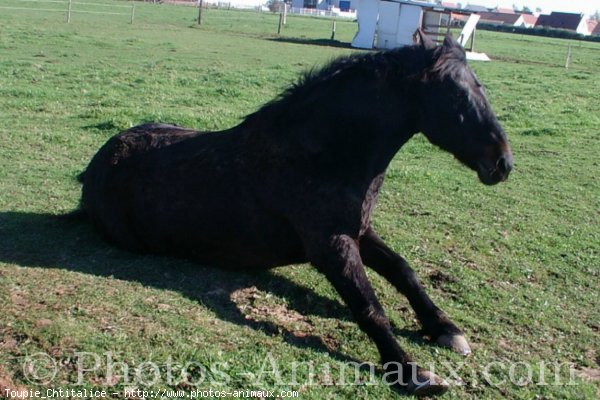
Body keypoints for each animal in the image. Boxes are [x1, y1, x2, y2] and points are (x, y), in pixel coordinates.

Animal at [77, 33, 512, 394]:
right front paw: (410, 372)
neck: (324, 155)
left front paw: (446, 329)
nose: (503, 164)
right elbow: (369, 307)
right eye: (457, 96)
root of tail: (95, 165)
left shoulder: (359, 231)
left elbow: (404, 272)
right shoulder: (331, 247)